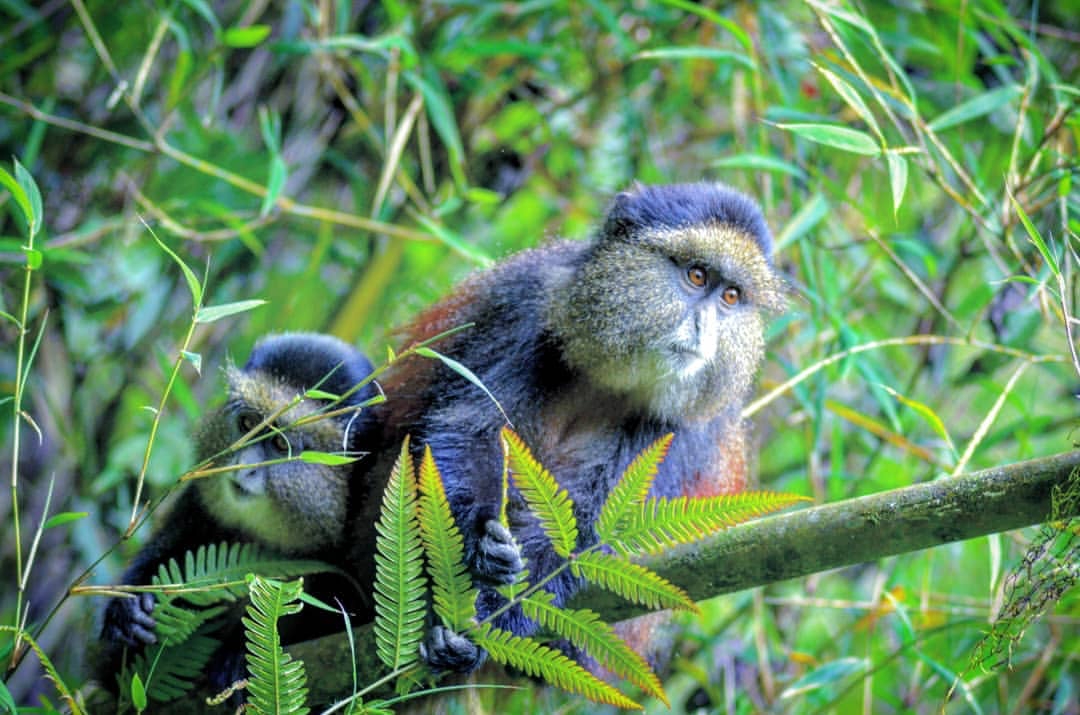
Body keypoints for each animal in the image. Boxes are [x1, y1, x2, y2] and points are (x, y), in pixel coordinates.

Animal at [97, 332, 379, 695]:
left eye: (279, 445)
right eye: (247, 423)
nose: (243, 465)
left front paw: (241, 656)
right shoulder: (199, 501)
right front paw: (126, 610)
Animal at [367, 182, 787, 673]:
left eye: (732, 297)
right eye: (697, 276)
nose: (706, 328)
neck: (610, 375)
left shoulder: (683, 431)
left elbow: (591, 529)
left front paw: (487, 620)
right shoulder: (524, 305)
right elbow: (467, 427)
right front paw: (482, 547)